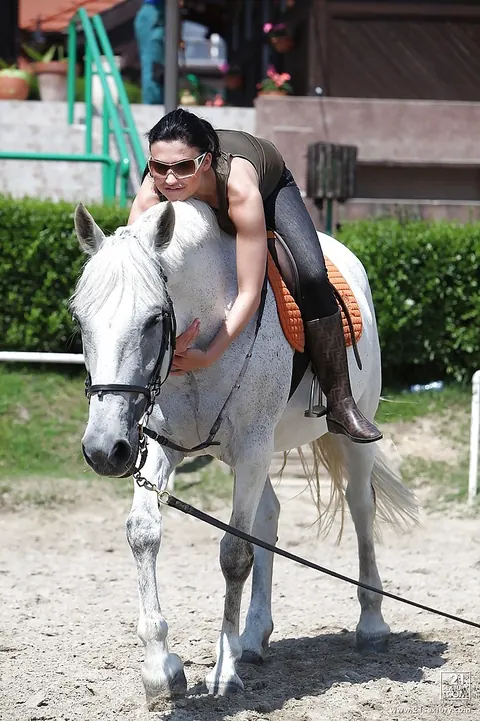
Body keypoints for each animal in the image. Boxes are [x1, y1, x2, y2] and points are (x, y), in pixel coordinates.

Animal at [71, 198, 418, 706]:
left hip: (345, 436)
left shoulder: (253, 447)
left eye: (154, 319)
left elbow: (235, 553)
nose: (103, 450)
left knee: (360, 509)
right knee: (268, 517)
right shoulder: (162, 446)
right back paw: (254, 637)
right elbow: (144, 533)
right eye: (80, 320)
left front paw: (223, 670)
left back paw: (371, 625)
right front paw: (161, 668)